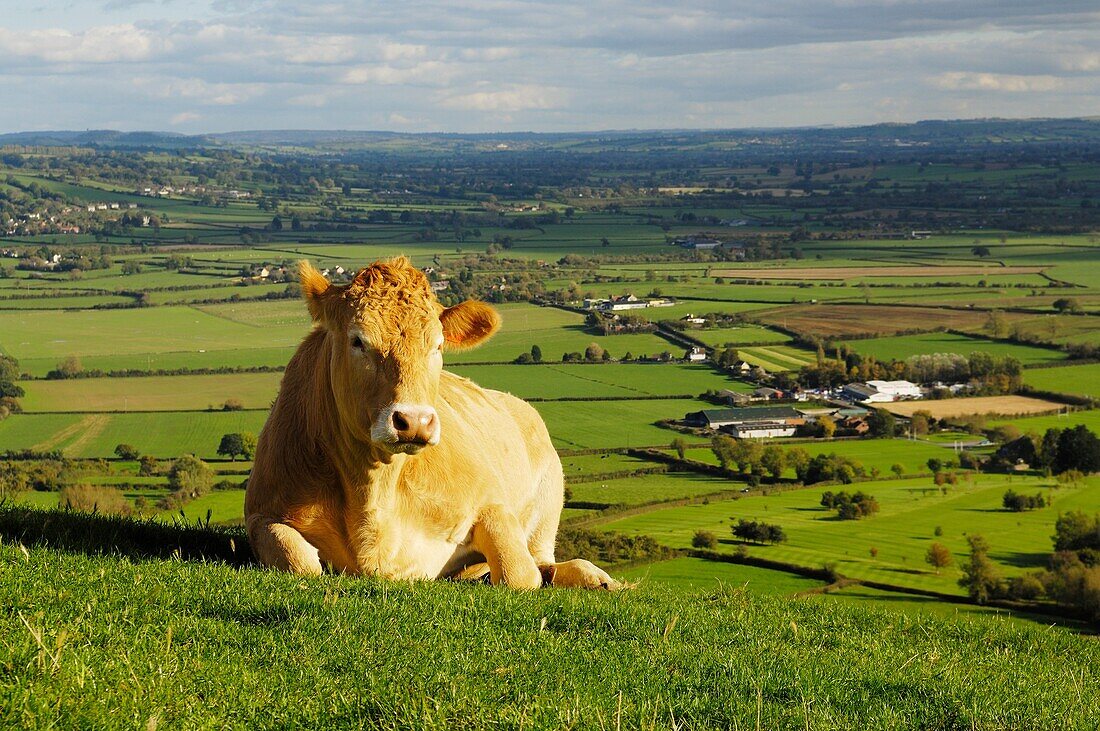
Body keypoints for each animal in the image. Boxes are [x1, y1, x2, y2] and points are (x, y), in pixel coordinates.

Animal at [243, 256, 620, 589]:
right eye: (358, 340)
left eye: (437, 346)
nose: (414, 421)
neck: (374, 492)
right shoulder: (261, 513)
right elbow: (302, 561)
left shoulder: (490, 501)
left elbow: (519, 575)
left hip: (548, 501)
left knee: (543, 561)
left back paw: (598, 579)